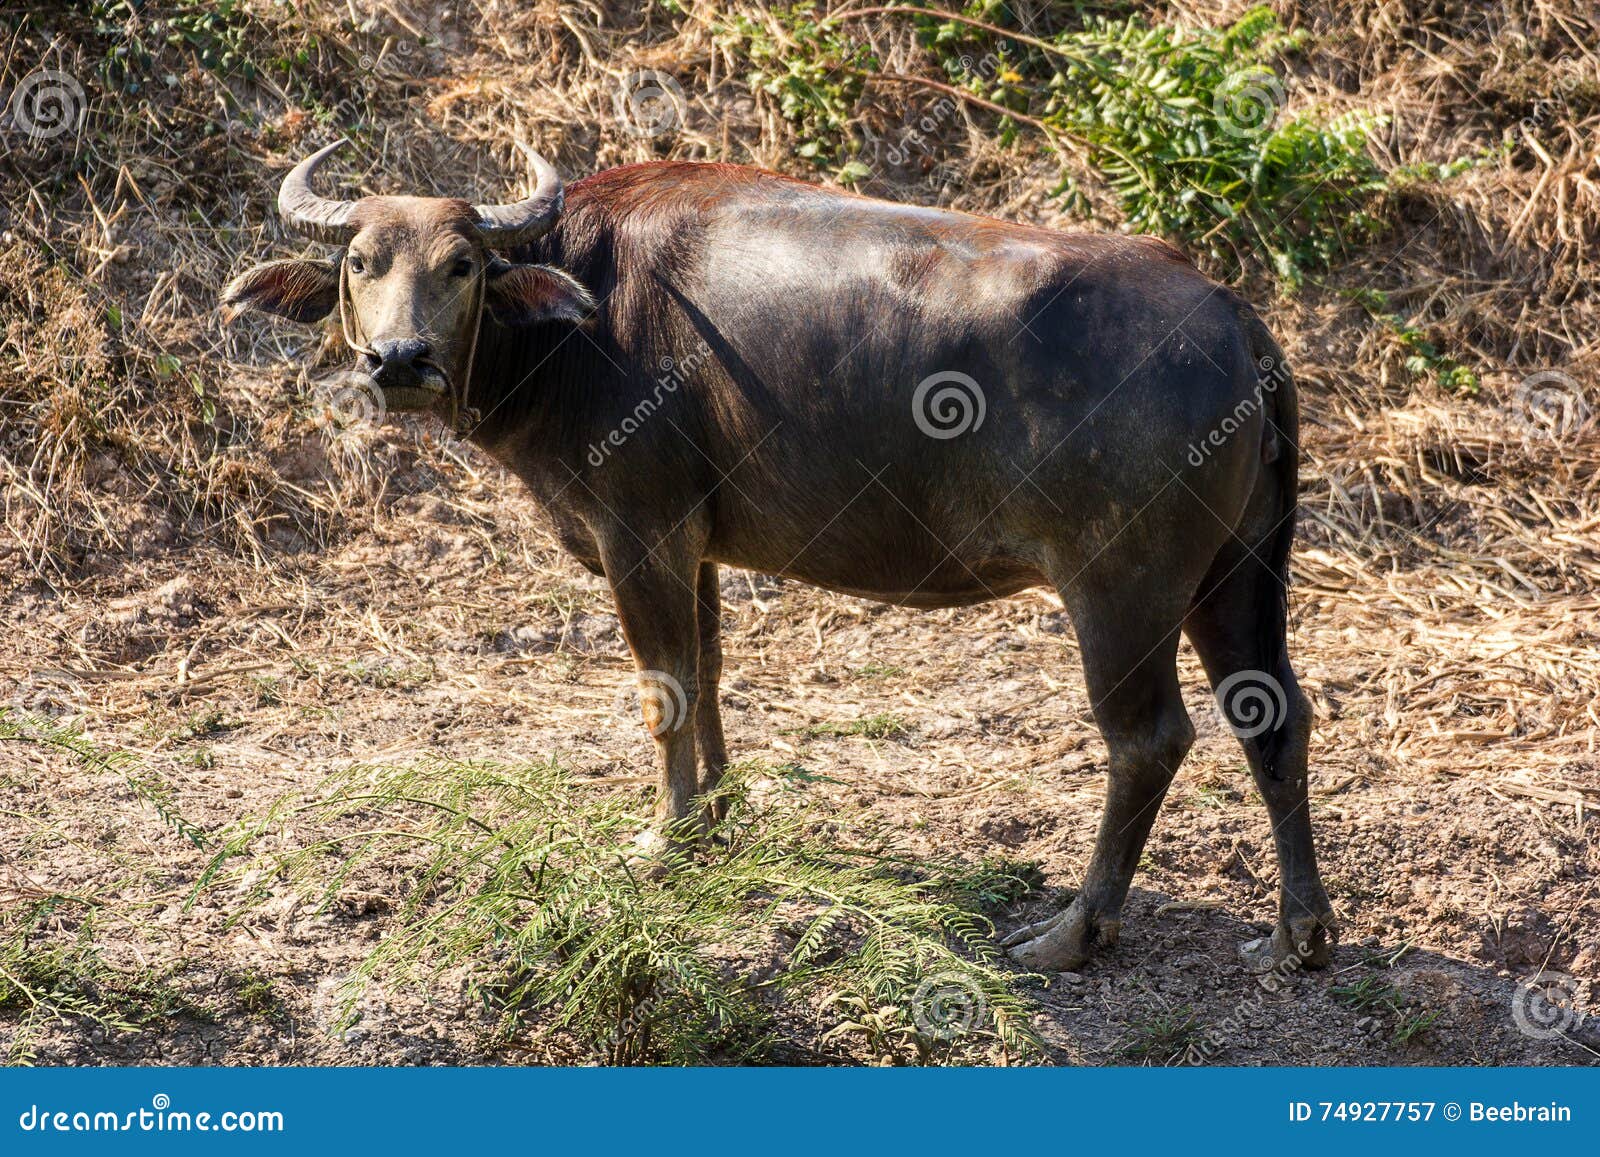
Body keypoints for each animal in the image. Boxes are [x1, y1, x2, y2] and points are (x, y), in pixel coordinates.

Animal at [223, 141, 1335, 972]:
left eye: (461, 263)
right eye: (360, 263)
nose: (398, 359)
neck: (582, 316)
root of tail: (1231, 315)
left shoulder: (640, 530)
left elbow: (663, 684)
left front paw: (665, 835)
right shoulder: (697, 545)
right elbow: (711, 672)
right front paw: (719, 812)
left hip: (1121, 587)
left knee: (1148, 738)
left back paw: (1073, 929)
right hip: (1240, 569)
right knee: (1271, 713)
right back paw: (1300, 932)